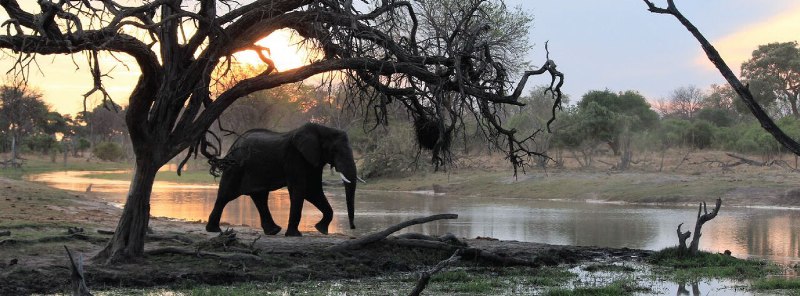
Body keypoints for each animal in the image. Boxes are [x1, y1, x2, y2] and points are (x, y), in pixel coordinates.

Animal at [205, 122, 358, 236]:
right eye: (335, 150)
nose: (353, 227)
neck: (322, 129)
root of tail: (235, 143)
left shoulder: (314, 160)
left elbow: (313, 190)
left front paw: (321, 229)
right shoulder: (294, 157)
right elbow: (300, 189)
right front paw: (295, 235)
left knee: (259, 197)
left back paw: (273, 231)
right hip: (235, 166)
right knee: (226, 195)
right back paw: (213, 229)